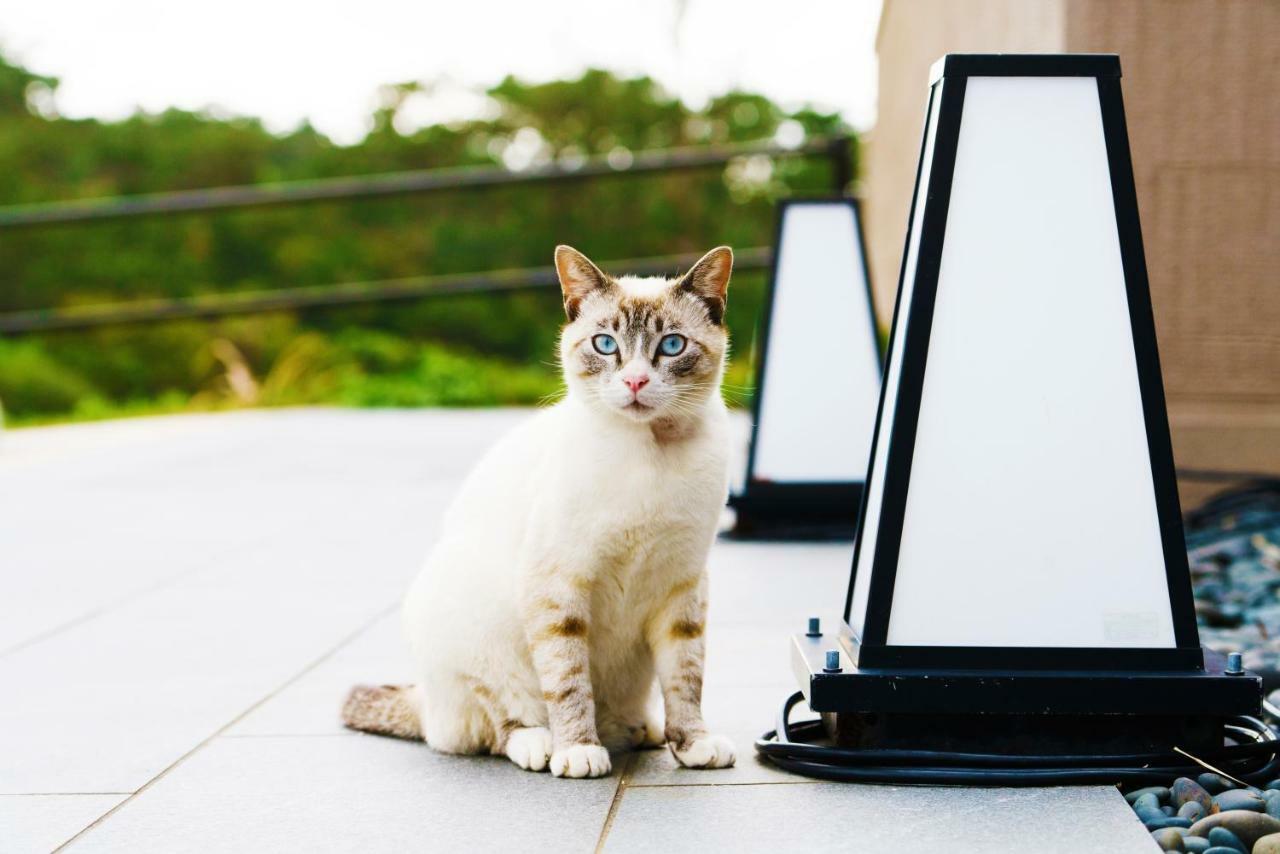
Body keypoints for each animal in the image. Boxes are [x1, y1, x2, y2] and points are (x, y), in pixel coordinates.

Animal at [345, 243, 737, 778]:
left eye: (672, 346)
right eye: (606, 345)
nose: (636, 380)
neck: (651, 451)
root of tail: (424, 700)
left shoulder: (683, 585)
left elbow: (686, 677)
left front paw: (693, 744)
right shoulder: (558, 584)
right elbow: (568, 680)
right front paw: (578, 750)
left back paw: (644, 730)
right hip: (470, 633)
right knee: (492, 722)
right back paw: (543, 743)